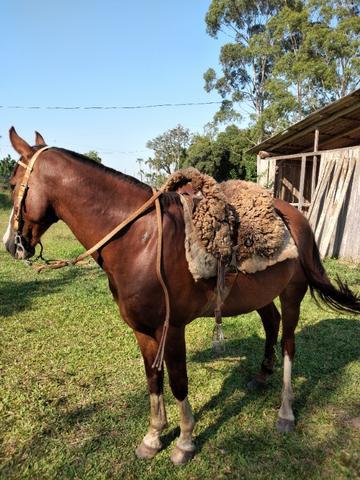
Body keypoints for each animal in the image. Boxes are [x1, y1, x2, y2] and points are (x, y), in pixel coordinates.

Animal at [3, 128, 360, 464]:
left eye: (11, 183)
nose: (11, 245)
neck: (140, 240)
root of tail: (296, 218)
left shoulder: (171, 329)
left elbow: (178, 381)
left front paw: (184, 442)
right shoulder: (142, 330)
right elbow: (153, 378)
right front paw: (152, 437)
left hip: (291, 295)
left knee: (288, 344)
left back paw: (285, 413)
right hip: (262, 295)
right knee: (271, 323)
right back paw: (261, 376)